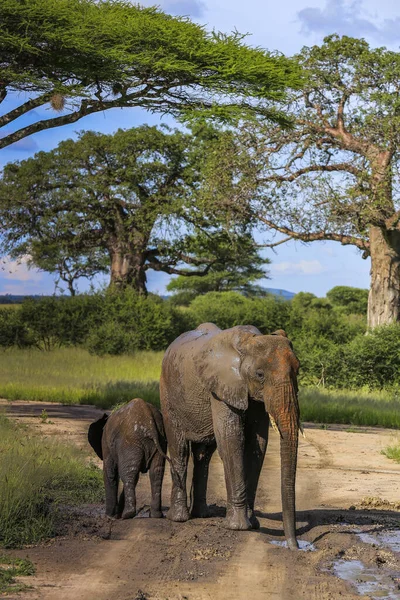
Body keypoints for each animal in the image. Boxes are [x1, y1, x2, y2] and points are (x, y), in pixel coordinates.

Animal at [159, 324, 300, 548]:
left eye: (298, 369)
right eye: (260, 374)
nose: (294, 546)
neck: (249, 341)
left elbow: (257, 445)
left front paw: (253, 523)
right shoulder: (221, 388)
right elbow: (231, 439)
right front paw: (239, 527)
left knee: (203, 456)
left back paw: (202, 514)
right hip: (168, 394)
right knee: (179, 449)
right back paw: (179, 518)